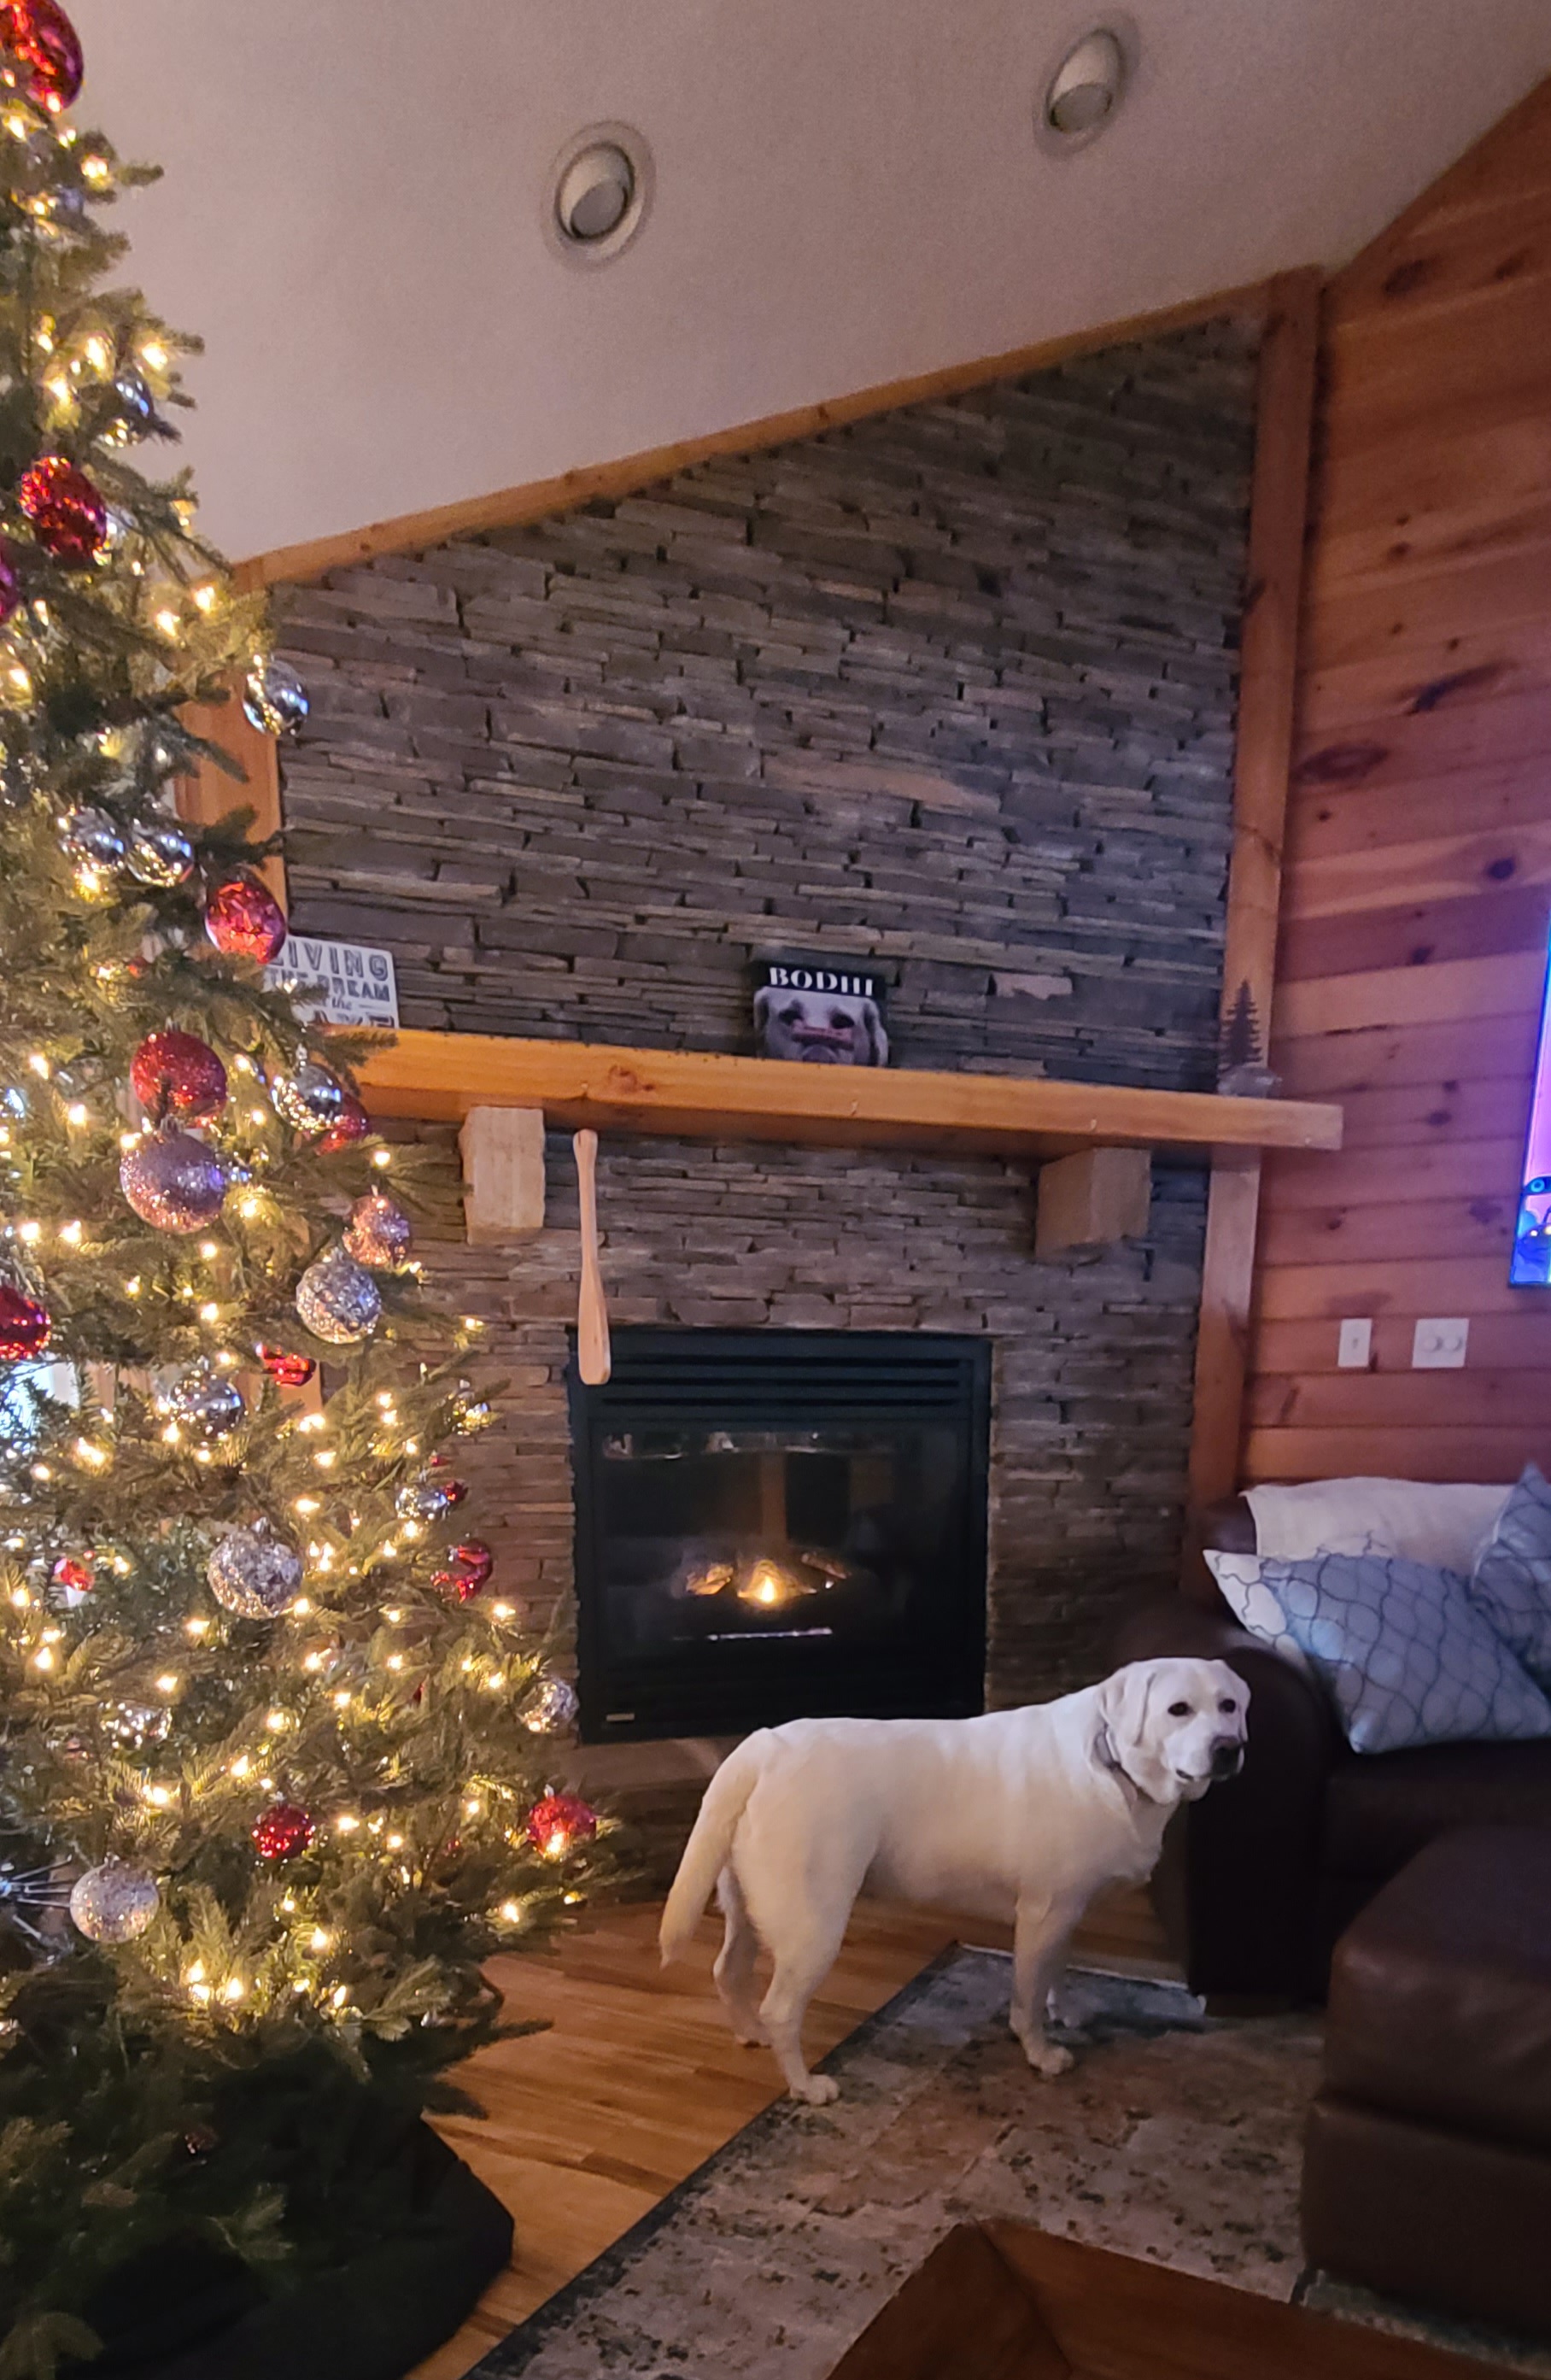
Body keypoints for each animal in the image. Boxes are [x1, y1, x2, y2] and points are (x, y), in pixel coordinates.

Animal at [660, 1658, 1248, 2103]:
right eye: (1178, 1709)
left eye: (1230, 1706)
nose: (1228, 1748)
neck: (1111, 1762)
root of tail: (758, 1749)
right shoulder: (1044, 1912)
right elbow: (1026, 1996)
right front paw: (1040, 2053)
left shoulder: (1066, 1911)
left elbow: (1056, 1972)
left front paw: (1065, 2011)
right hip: (813, 1923)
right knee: (781, 2009)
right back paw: (806, 2085)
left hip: (749, 1903)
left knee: (727, 1970)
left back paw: (750, 2034)